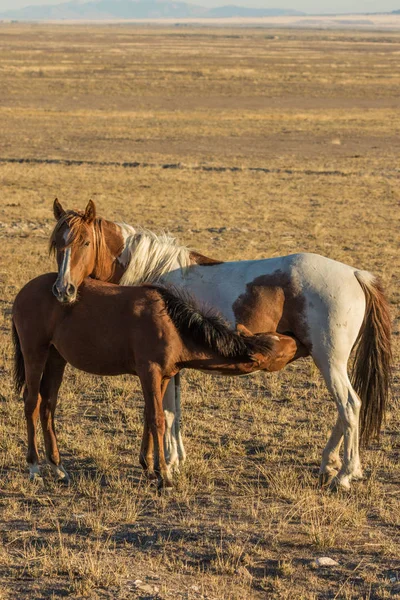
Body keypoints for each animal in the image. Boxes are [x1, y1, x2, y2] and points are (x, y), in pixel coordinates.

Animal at [10, 274, 302, 490]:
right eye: (278, 349)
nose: (296, 339)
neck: (173, 325)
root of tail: (23, 293)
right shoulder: (149, 372)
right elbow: (159, 420)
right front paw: (165, 476)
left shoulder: (163, 377)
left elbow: (149, 416)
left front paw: (149, 468)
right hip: (35, 353)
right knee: (32, 403)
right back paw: (34, 467)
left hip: (56, 358)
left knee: (48, 405)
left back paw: (58, 467)